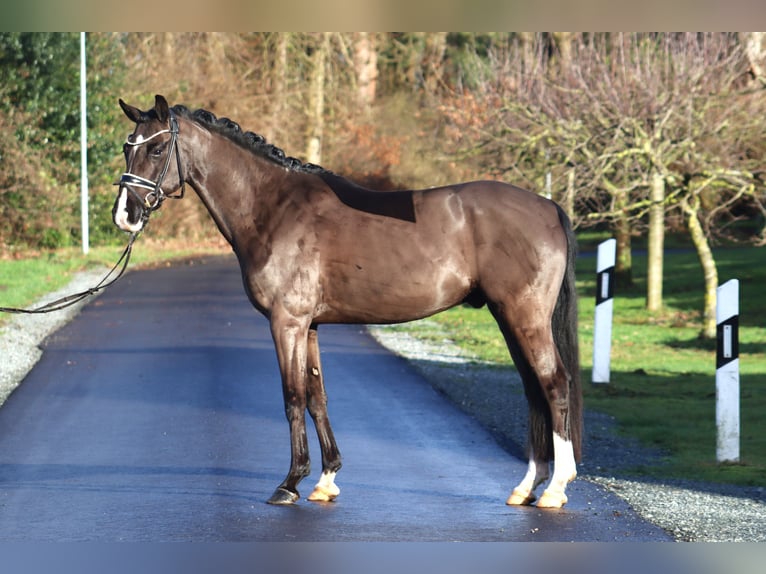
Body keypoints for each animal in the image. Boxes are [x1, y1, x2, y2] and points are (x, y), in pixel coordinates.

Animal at [112, 97, 584, 510]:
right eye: (126, 146)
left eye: (157, 149)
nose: (125, 215)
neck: (273, 208)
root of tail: (548, 207)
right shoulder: (310, 326)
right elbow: (317, 395)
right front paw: (325, 480)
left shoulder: (287, 322)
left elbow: (292, 397)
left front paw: (289, 483)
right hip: (508, 318)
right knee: (534, 392)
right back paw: (525, 487)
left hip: (524, 317)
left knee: (554, 385)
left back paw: (555, 489)